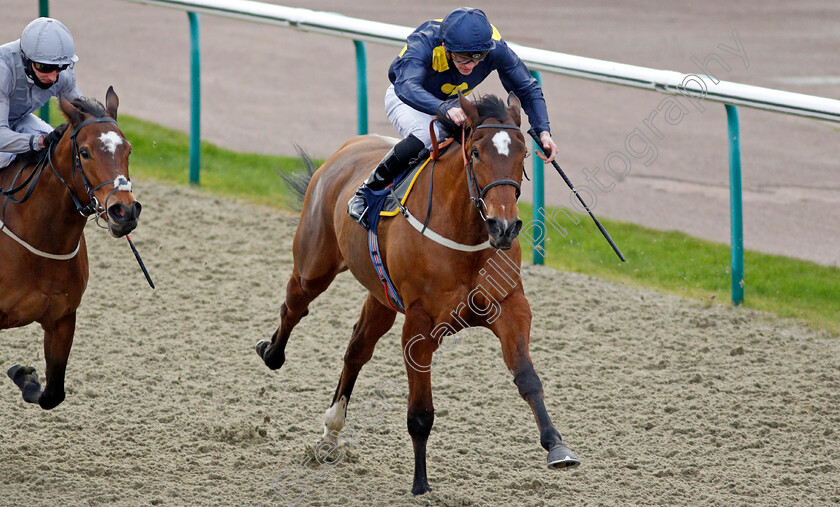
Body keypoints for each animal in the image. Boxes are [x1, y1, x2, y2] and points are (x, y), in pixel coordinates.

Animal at [0, 87, 141, 410]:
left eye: (128, 149)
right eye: (85, 152)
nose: (124, 212)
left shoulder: (62, 318)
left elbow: (53, 394)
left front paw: (25, 375)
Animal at [256, 92, 576, 496]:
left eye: (522, 154)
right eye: (475, 153)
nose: (503, 227)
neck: (465, 235)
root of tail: (347, 148)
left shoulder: (509, 306)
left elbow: (528, 378)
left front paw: (557, 446)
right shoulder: (420, 325)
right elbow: (421, 413)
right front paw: (420, 482)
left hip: (381, 297)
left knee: (356, 350)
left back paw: (330, 434)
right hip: (315, 264)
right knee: (294, 306)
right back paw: (271, 352)